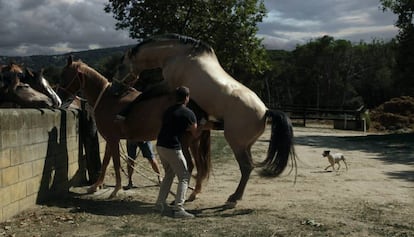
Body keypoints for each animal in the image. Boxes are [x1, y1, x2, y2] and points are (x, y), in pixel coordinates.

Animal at [58, 56, 210, 199]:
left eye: (64, 75)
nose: (59, 99)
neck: (106, 99)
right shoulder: (110, 140)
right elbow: (106, 162)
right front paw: (95, 186)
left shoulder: (113, 139)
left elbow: (116, 163)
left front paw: (116, 189)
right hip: (194, 142)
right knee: (200, 166)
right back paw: (194, 193)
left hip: (185, 142)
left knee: (190, 165)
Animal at [115, 33, 298, 207]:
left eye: (121, 65)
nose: (116, 86)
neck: (178, 53)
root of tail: (265, 111)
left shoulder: (168, 84)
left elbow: (144, 94)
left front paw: (123, 112)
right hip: (246, 145)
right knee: (248, 166)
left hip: (236, 143)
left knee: (246, 167)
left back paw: (233, 198)